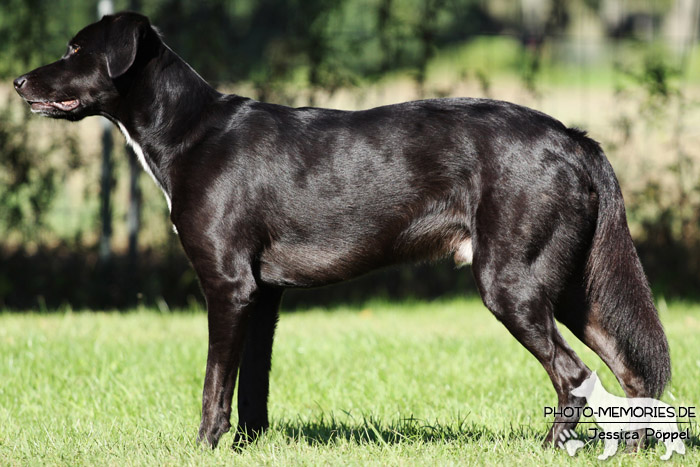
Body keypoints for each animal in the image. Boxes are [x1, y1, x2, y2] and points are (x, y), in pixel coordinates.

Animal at [13, 11, 668, 450]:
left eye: (75, 49)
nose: (18, 82)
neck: (190, 131)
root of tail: (574, 139)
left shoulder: (228, 286)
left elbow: (215, 386)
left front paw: (202, 448)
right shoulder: (264, 296)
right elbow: (253, 388)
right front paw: (249, 450)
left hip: (514, 284)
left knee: (574, 375)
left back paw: (552, 450)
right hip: (571, 286)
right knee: (631, 371)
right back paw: (632, 451)